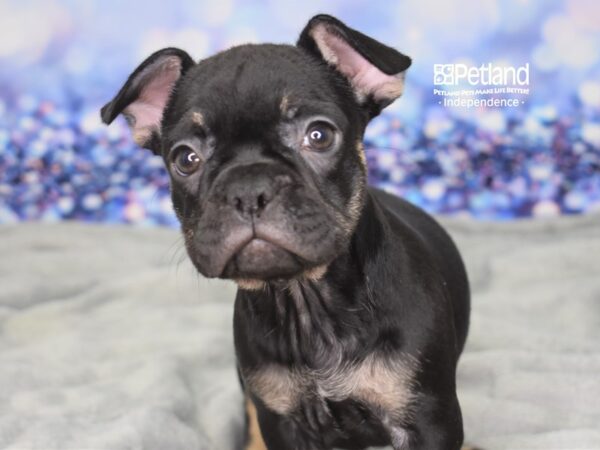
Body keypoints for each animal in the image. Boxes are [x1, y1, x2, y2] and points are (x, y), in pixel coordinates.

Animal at [102, 14, 468, 450]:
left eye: (319, 135)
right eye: (185, 158)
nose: (247, 190)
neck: (306, 300)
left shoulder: (427, 419)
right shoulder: (281, 419)